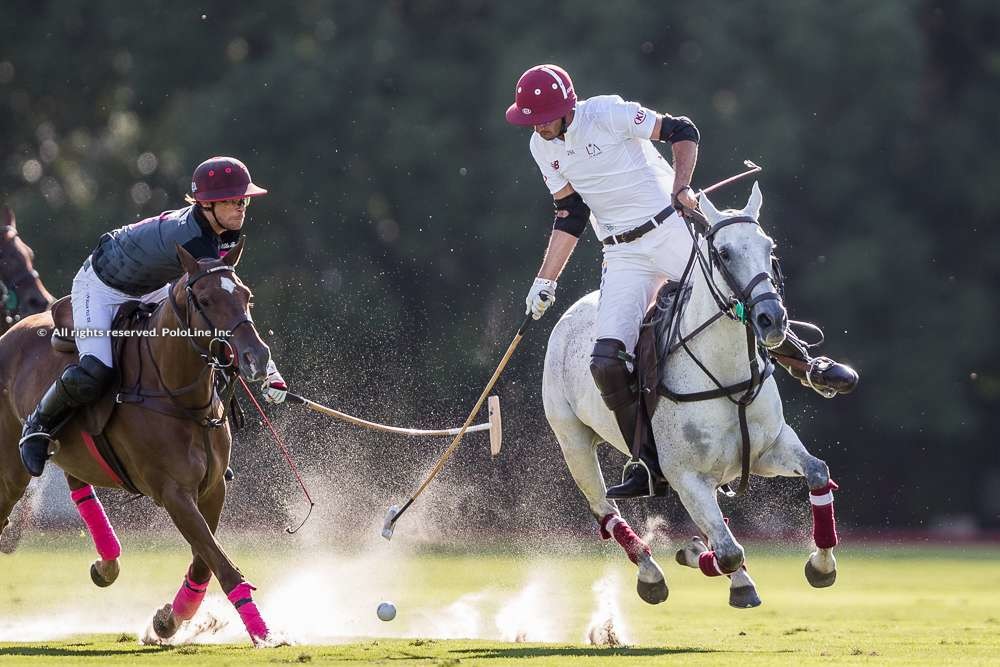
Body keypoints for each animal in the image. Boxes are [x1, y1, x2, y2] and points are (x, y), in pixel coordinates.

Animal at [0, 239, 278, 640]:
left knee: (77, 483)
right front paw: (265, 634)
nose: (256, 356)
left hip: (71, 451)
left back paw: (106, 564)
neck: (176, 394)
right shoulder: (172, 492)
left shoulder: (213, 489)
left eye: (247, 296)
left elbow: (204, 560)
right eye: (205, 300)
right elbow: (221, 565)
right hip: (11, 466)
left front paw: (168, 620)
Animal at [544, 184, 840, 612]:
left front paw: (821, 566)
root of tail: (573, 310)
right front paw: (704, 558)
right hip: (573, 442)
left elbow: (818, 472)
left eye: (769, 246)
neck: (728, 374)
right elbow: (729, 551)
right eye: (724, 253)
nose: (772, 319)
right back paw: (651, 573)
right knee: (606, 510)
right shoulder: (686, 477)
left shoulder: (768, 449)